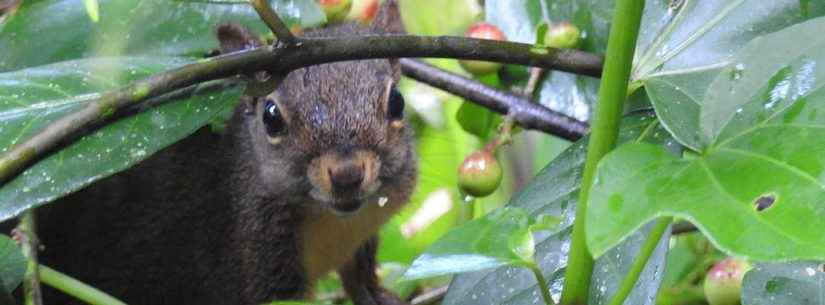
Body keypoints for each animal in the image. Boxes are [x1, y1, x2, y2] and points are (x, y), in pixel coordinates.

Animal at [16, 0, 418, 304]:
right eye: (271, 117)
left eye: (397, 103)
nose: (347, 174)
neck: (332, 221)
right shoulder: (249, 260)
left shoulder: (365, 230)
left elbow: (359, 275)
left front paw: (377, 294)